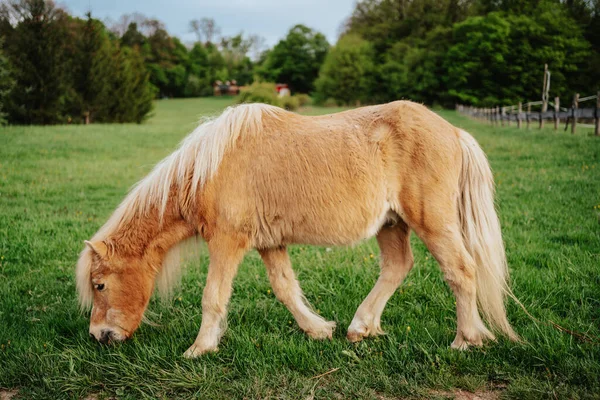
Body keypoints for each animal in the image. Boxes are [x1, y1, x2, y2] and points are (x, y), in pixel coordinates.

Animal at [76, 101, 520, 358]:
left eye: (99, 284)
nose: (99, 336)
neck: (210, 168)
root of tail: (454, 132)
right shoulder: (270, 244)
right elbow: (286, 289)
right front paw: (319, 330)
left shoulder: (227, 242)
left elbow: (213, 297)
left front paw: (200, 349)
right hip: (392, 224)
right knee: (397, 267)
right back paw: (361, 328)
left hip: (432, 222)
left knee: (461, 271)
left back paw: (465, 339)